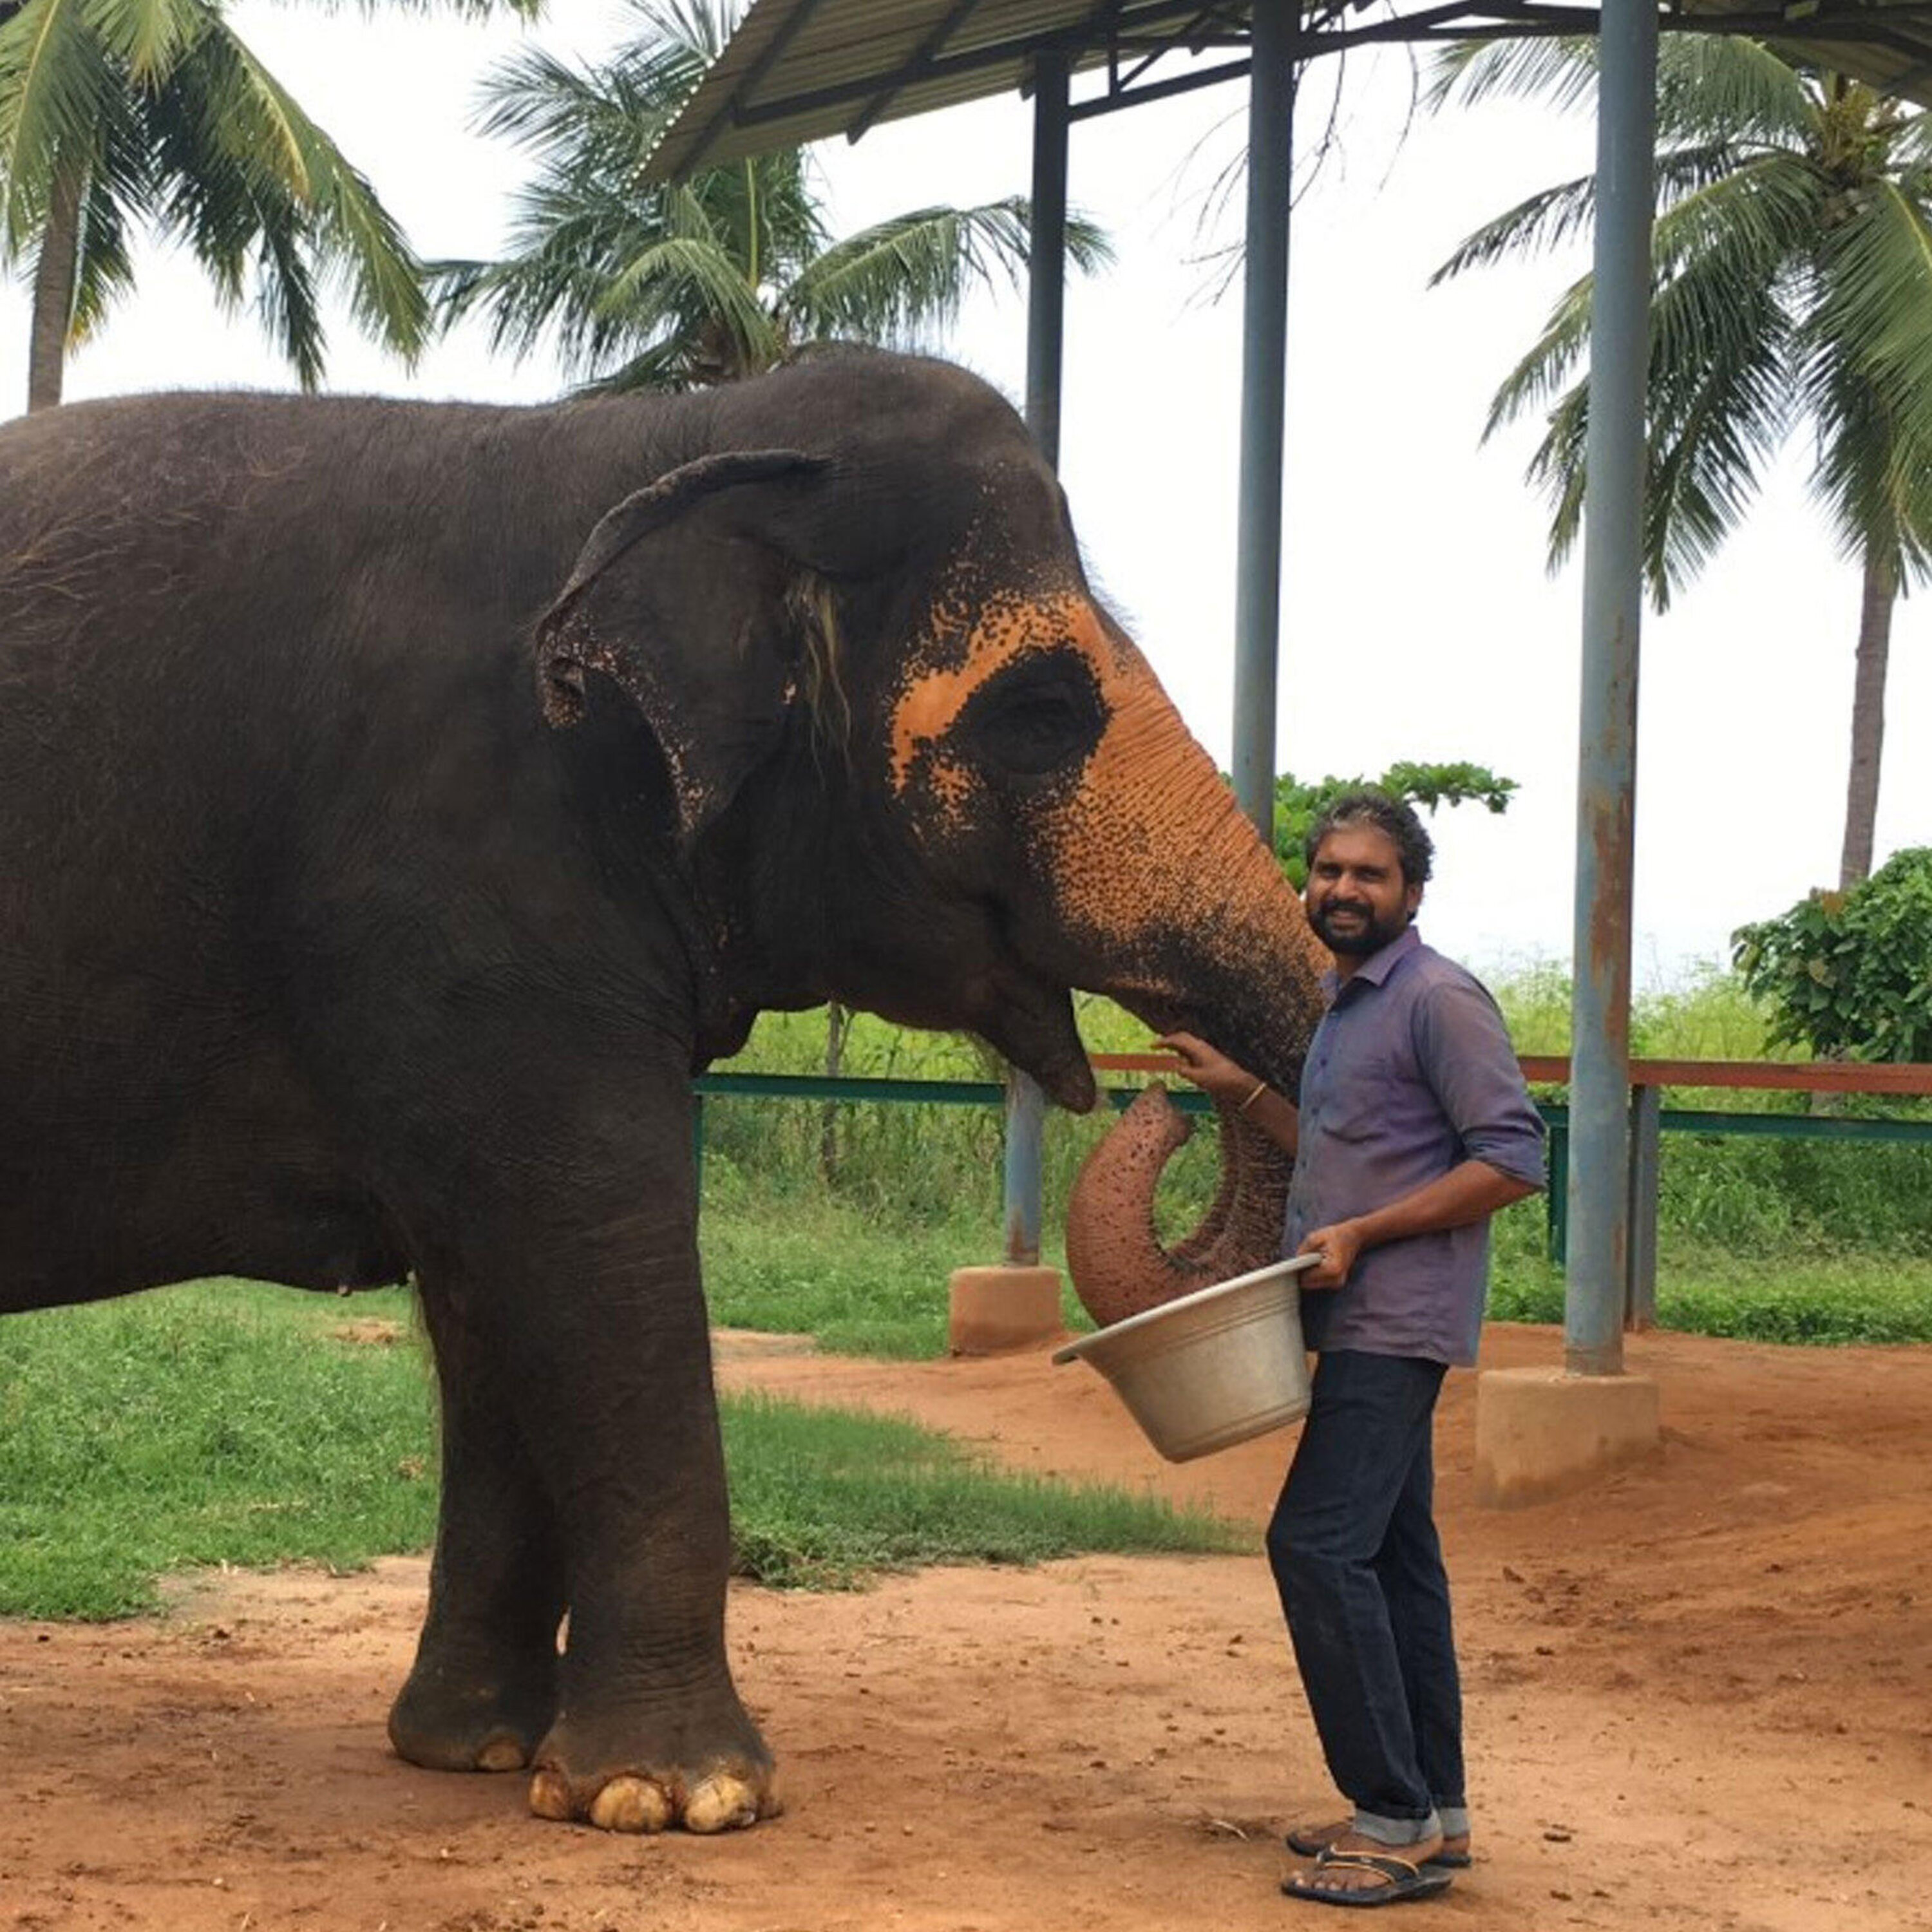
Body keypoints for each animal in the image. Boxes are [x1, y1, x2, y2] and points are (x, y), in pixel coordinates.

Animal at [0, 348, 1329, 1836]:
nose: (1179, 1092)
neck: (676, 435)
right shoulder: (461, 889)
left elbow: (497, 1286)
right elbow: (588, 1244)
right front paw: (679, 1800)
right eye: (1040, 712)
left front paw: (477, 1753)